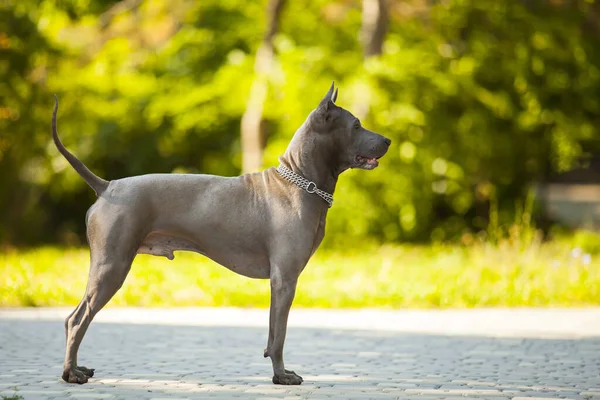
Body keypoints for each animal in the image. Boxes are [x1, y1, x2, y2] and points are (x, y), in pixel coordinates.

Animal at [54, 83, 392, 384]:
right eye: (356, 125)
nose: (388, 140)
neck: (299, 181)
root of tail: (107, 186)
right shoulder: (284, 279)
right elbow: (280, 335)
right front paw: (282, 376)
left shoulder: (280, 282)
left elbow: (272, 333)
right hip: (112, 267)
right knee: (78, 319)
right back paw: (71, 374)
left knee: (74, 319)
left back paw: (77, 369)